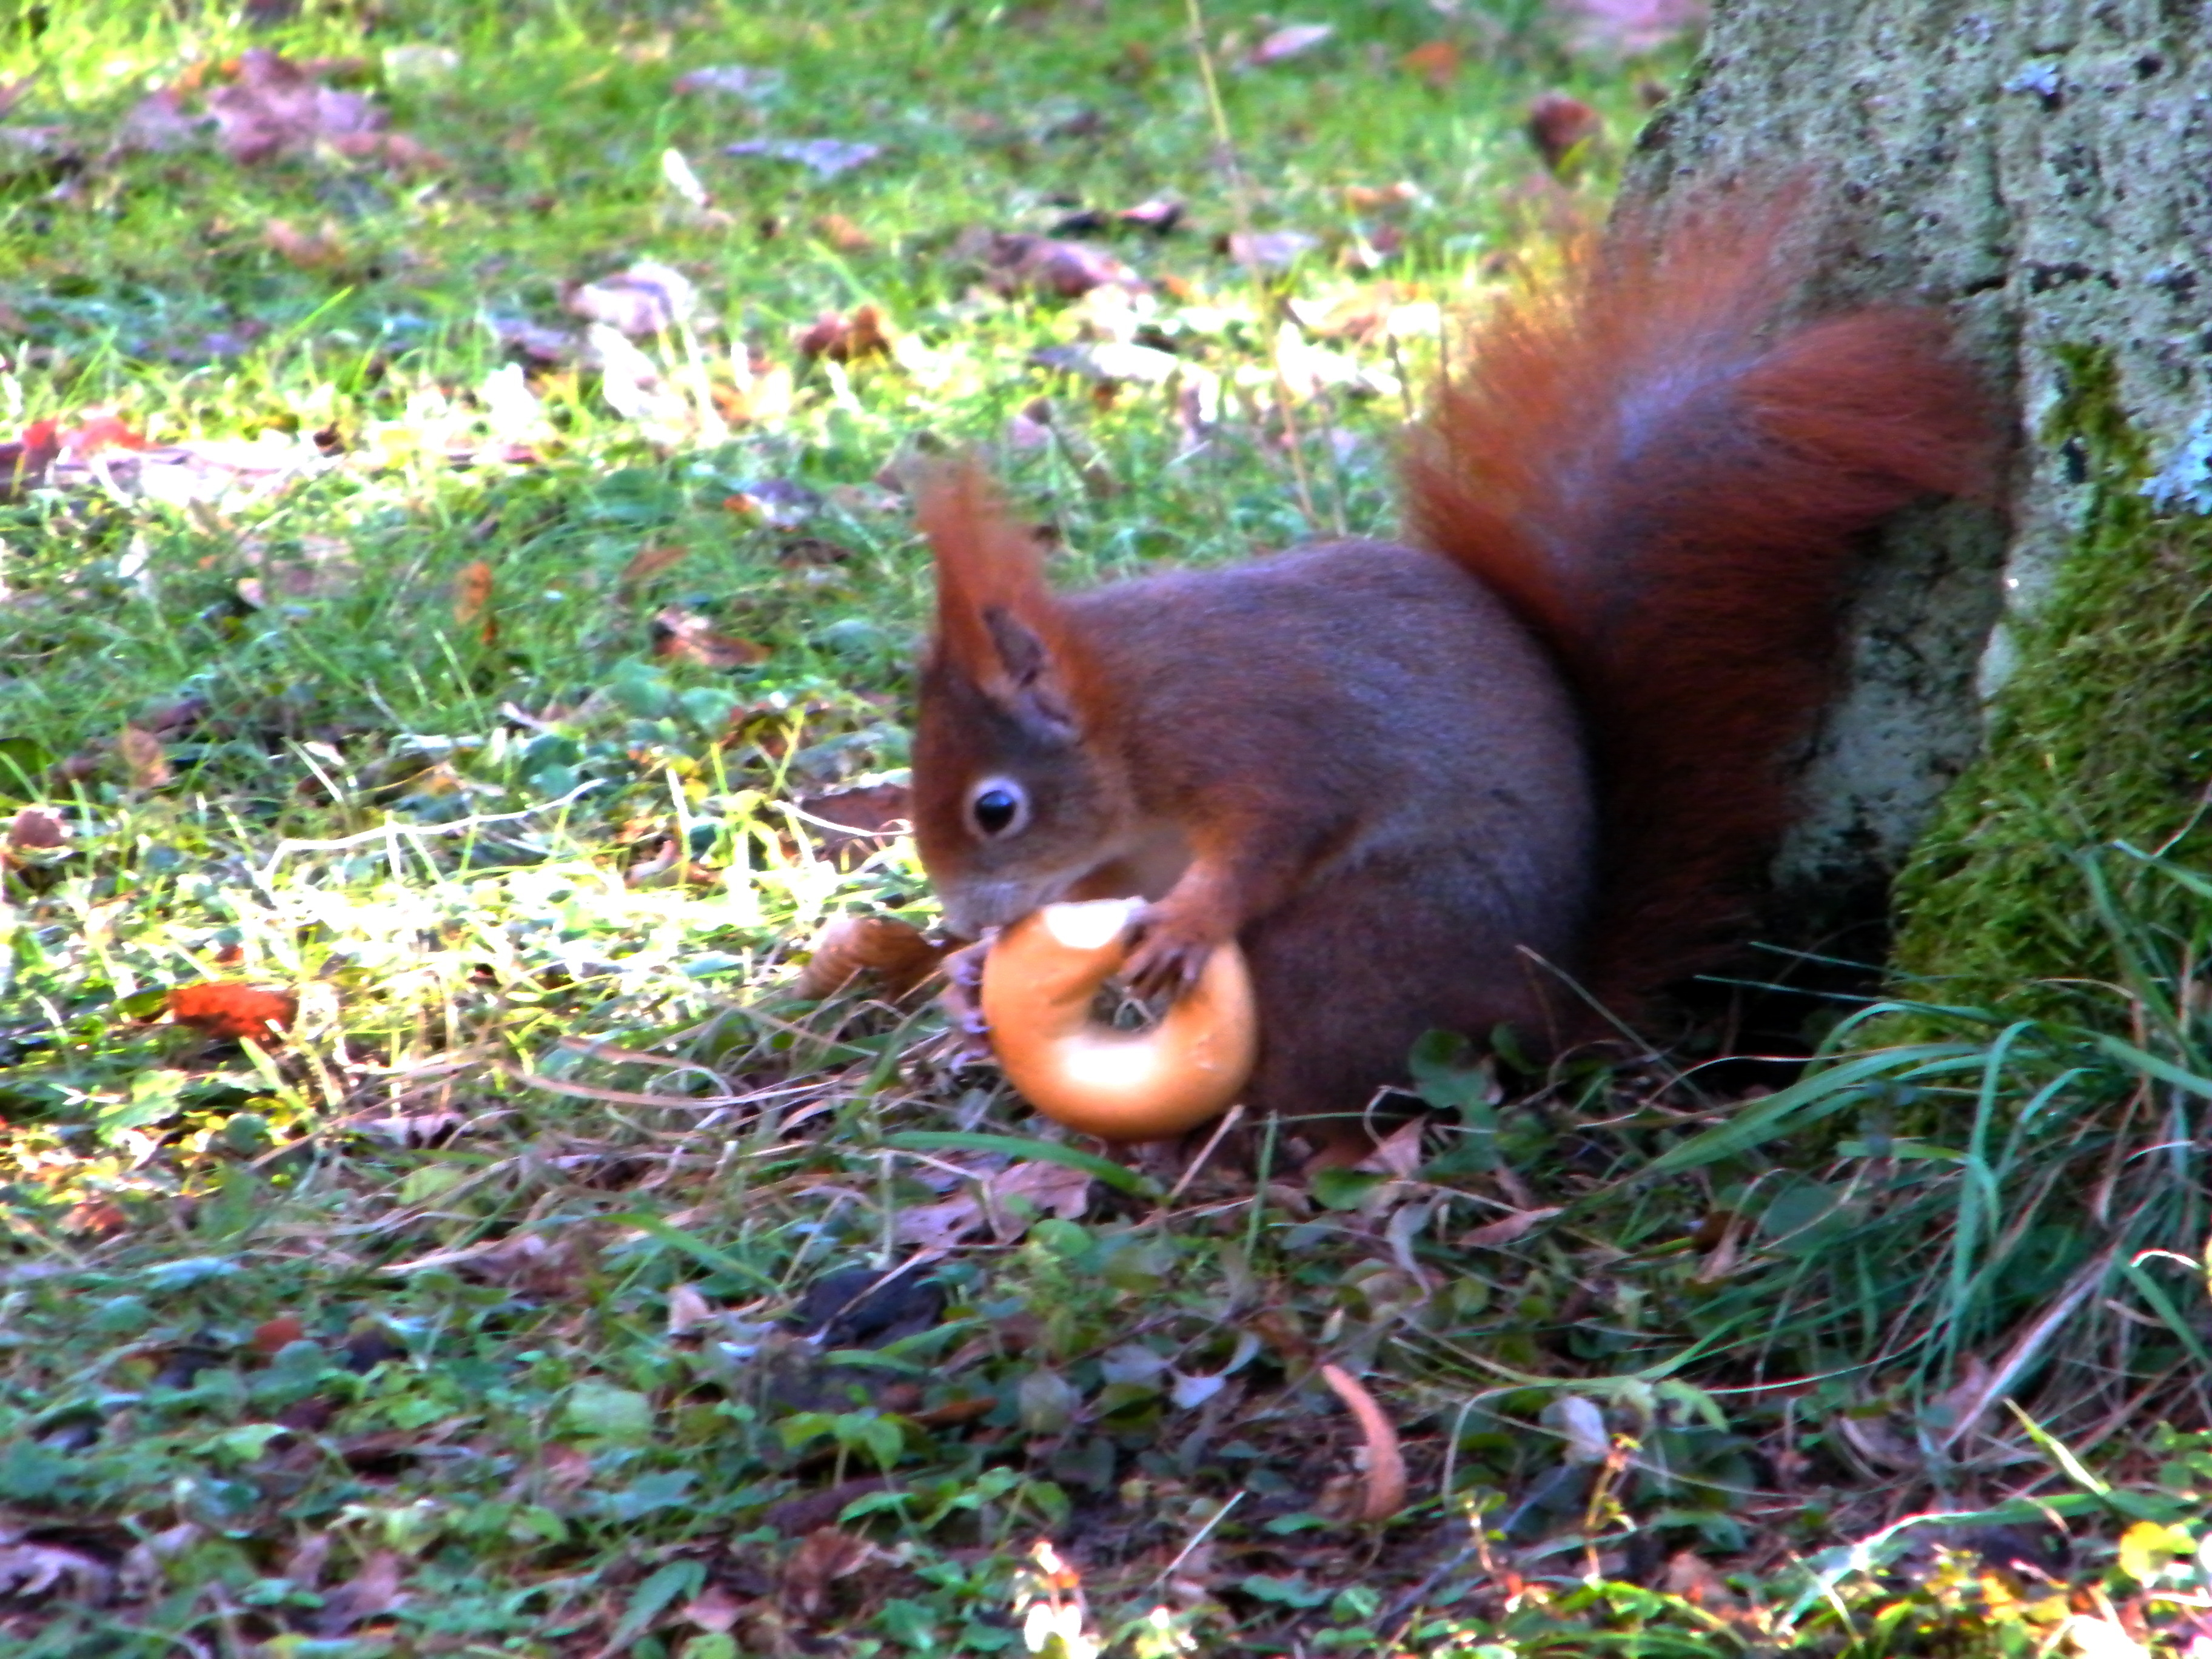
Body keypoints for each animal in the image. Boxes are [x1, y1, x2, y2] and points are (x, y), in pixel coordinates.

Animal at [907, 191, 1999, 1159]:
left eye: (994, 809)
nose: (961, 921)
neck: (1124, 710)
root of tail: (1550, 1005)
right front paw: (974, 971)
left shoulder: (1252, 731)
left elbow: (1275, 833)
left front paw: (1185, 924)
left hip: (1360, 946)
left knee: (1325, 1086)